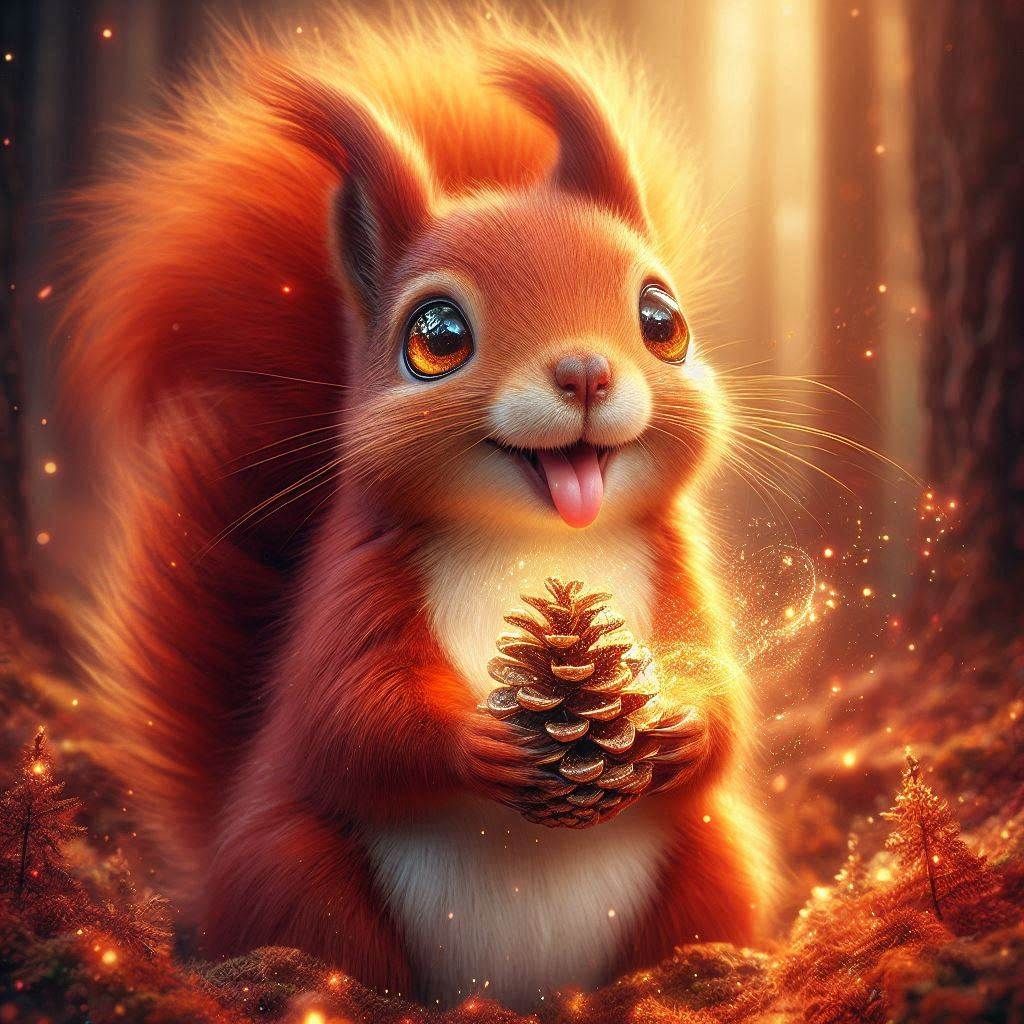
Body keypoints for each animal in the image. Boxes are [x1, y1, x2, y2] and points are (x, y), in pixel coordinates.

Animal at [60, 9, 772, 1011]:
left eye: (662, 319)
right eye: (436, 338)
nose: (586, 372)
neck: (540, 543)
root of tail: (520, 994)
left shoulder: (679, 573)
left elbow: (729, 699)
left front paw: (684, 723)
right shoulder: (357, 585)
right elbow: (348, 716)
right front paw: (479, 739)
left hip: (711, 857)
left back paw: (700, 976)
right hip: (296, 868)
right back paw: (308, 984)